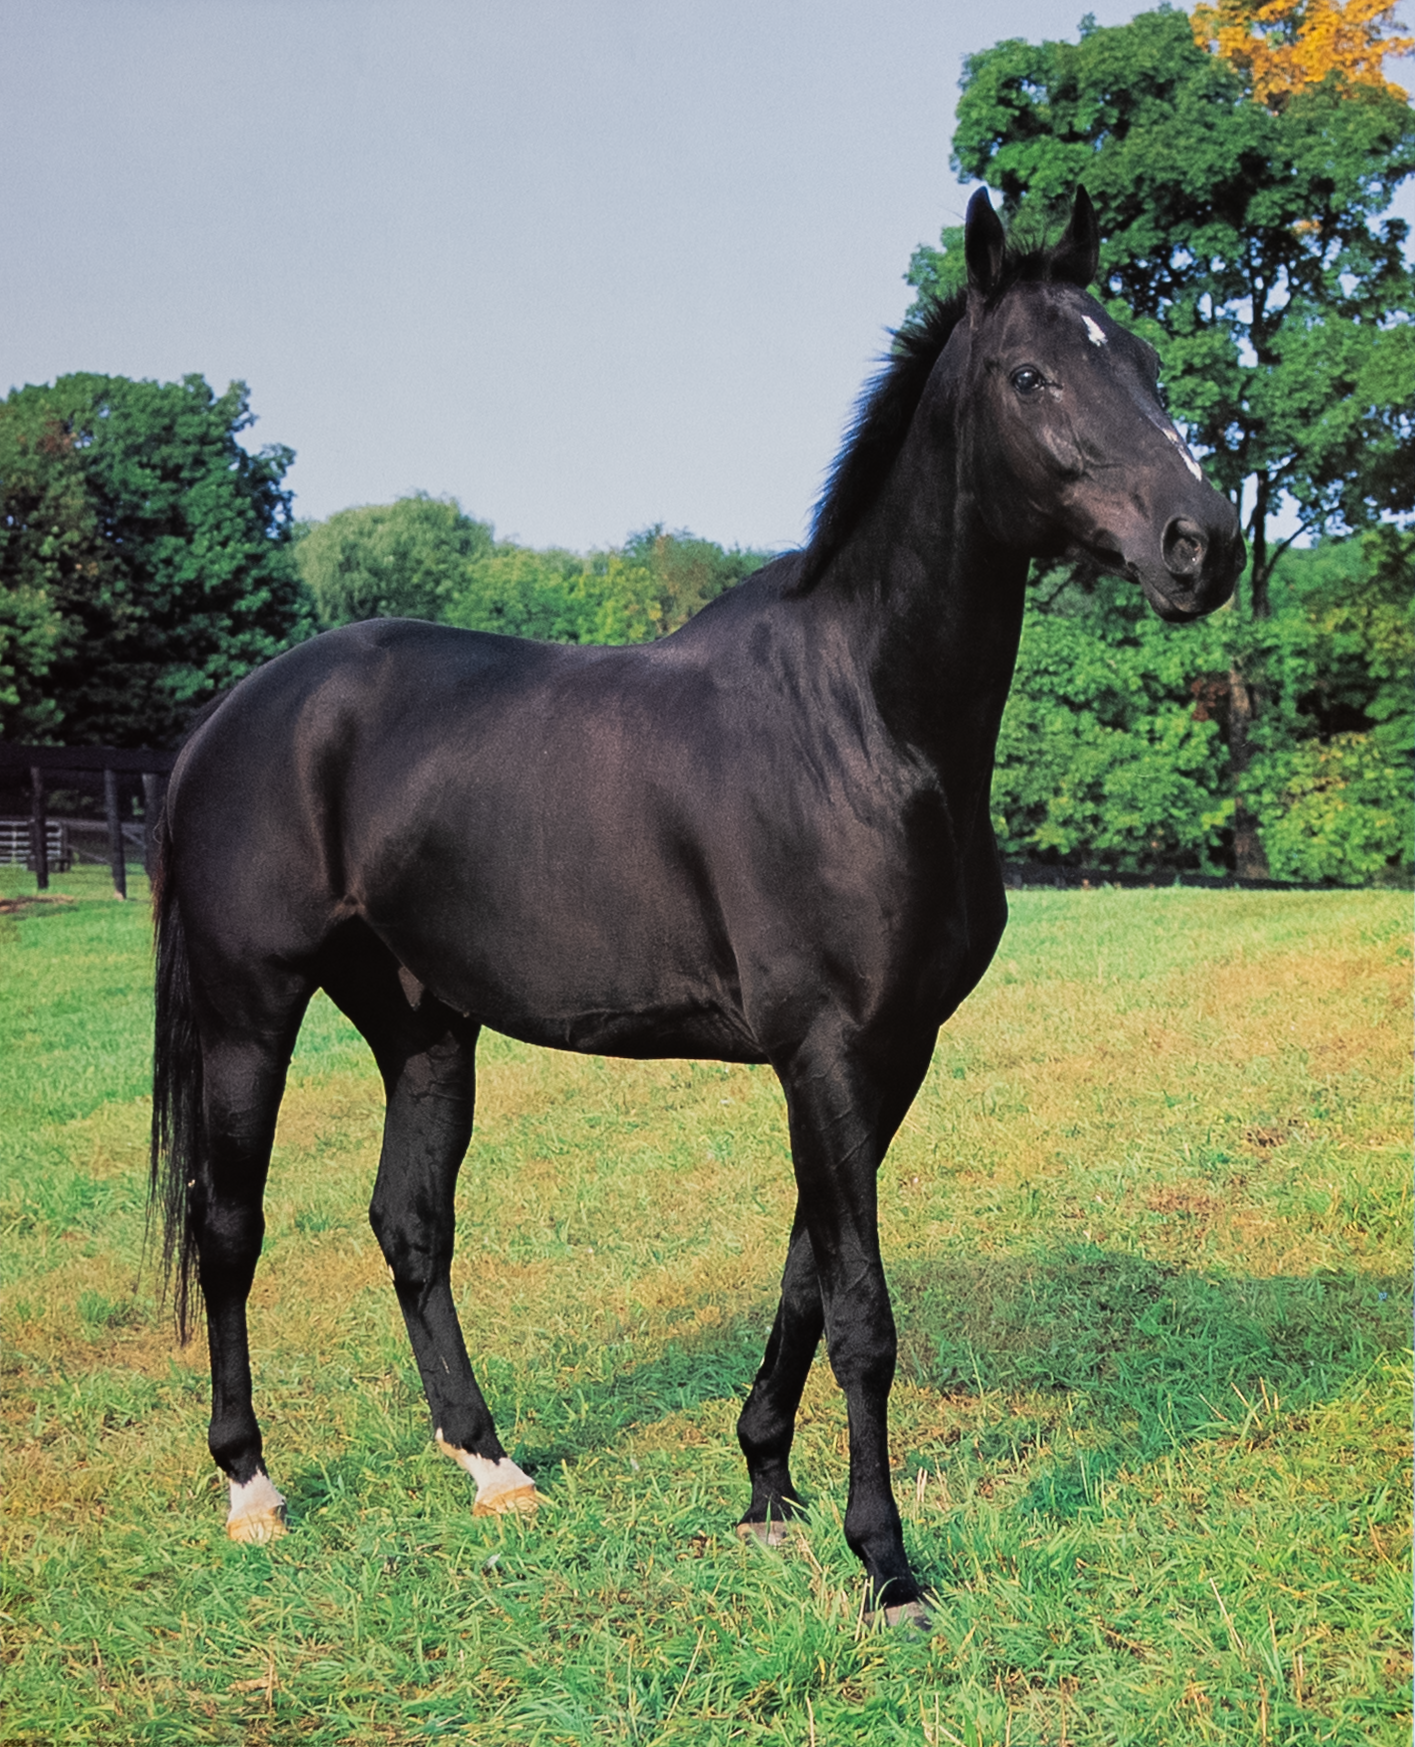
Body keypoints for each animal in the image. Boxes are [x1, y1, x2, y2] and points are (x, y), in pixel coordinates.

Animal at [150, 187, 1242, 1624]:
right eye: (1029, 375)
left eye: (1149, 367)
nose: (1202, 545)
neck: (857, 719)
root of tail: (229, 719)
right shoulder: (824, 1052)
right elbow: (862, 1313)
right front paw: (885, 1563)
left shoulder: (882, 1054)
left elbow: (804, 1281)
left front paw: (764, 1488)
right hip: (248, 1011)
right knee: (230, 1231)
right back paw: (251, 1487)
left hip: (422, 1023)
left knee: (410, 1225)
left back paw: (492, 1465)